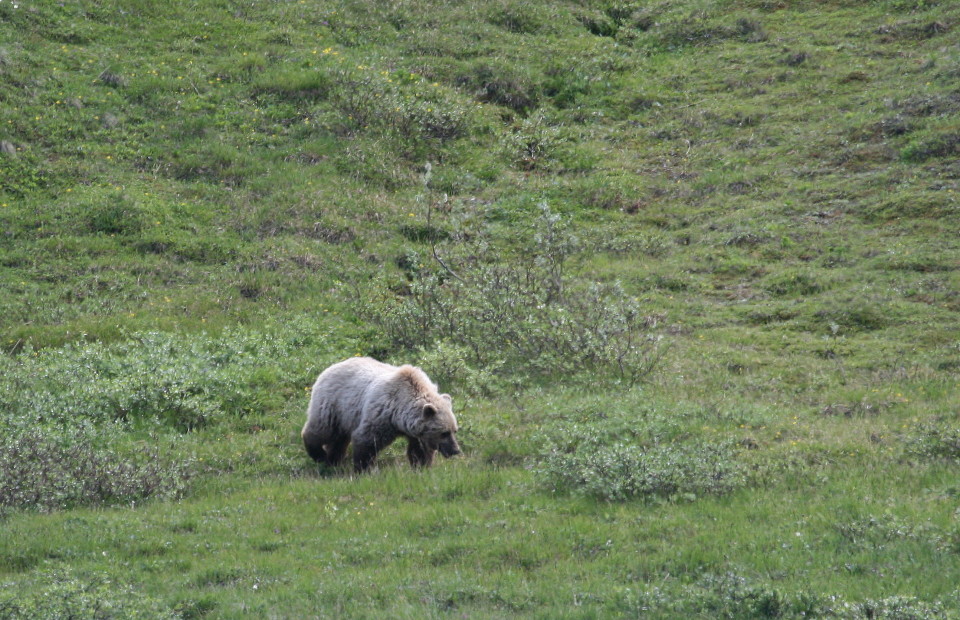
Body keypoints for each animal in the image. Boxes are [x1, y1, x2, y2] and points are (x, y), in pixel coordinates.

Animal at [304, 356, 462, 472]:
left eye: (454, 430)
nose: (455, 450)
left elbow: (419, 449)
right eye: (444, 433)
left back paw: (333, 460)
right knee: (321, 430)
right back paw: (319, 455)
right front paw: (363, 469)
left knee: (339, 439)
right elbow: (366, 440)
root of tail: (331, 367)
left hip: (345, 415)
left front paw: (421, 466)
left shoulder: (415, 431)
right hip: (333, 404)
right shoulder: (382, 414)